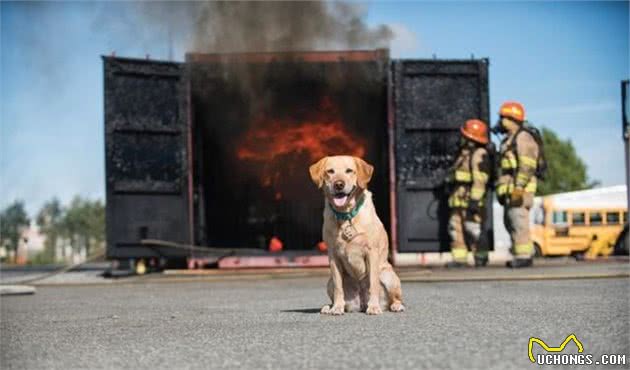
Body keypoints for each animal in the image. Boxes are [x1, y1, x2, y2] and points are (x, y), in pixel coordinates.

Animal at [310, 156, 408, 316]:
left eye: (349, 171)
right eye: (330, 171)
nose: (339, 184)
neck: (346, 215)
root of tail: (361, 303)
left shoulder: (372, 252)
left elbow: (373, 283)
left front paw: (373, 307)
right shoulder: (333, 256)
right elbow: (338, 287)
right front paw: (337, 307)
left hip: (389, 276)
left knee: (395, 298)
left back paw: (394, 306)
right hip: (329, 282)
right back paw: (329, 307)